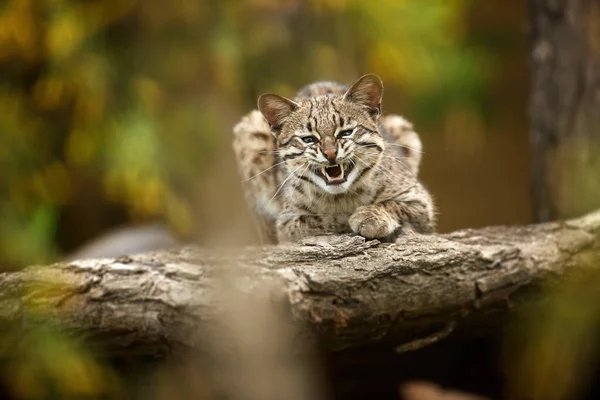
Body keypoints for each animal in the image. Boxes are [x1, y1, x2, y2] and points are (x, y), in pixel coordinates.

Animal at [232, 74, 434, 244]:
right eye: (308, 139)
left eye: (346, 133)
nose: (330, 153)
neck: (341, 195)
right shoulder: (286, 222)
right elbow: (321, 220)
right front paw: (349, 217)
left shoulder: (420, 201)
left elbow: (393, 204)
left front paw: (369, 216)